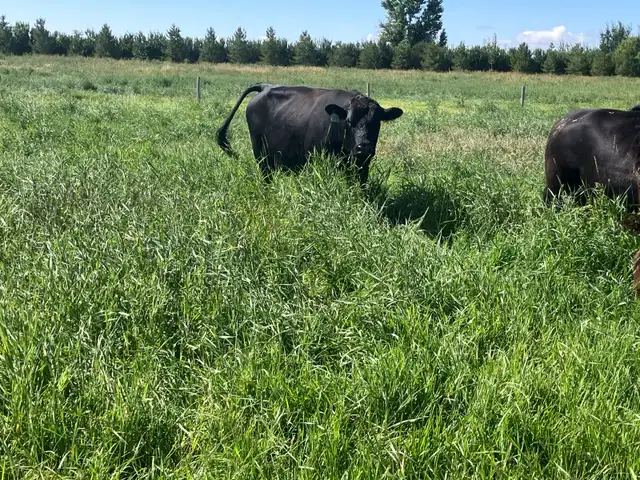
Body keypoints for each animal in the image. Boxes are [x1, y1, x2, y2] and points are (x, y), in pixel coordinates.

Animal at [215, 83, 403, 186]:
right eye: (349, 122)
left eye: (377, 123)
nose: (363, 147)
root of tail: (265, 87)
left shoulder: (363, 164)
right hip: (260, 153)